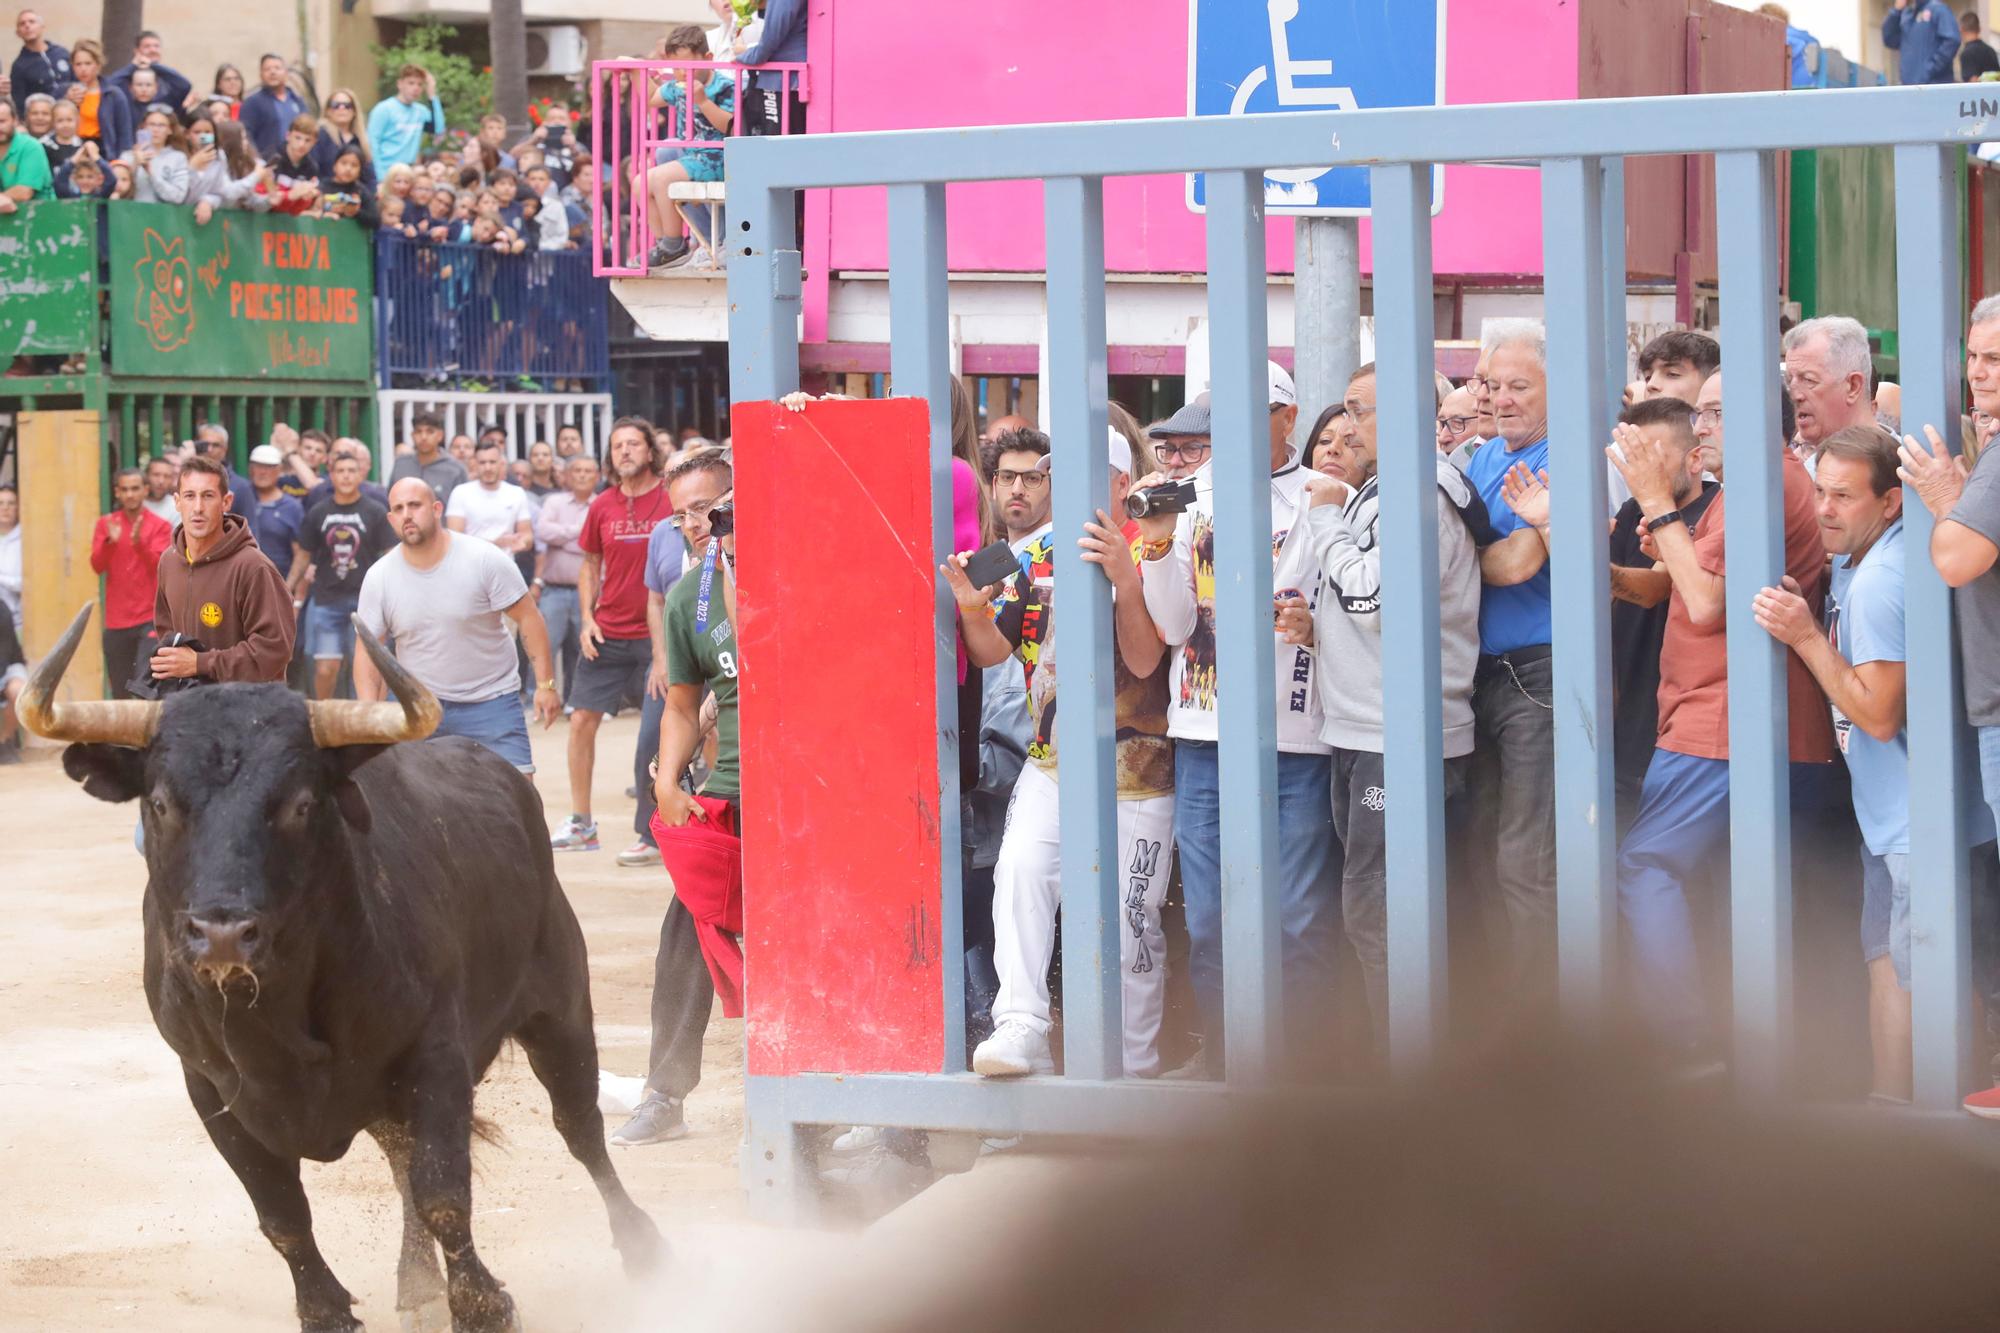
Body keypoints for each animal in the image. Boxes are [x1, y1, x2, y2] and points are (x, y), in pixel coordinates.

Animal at [23, 608, 664, 1328]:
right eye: (159, 802)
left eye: (301, 802)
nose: (222, 933)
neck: (278, 1013)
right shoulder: (211, 1089)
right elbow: (284, 1217)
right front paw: (326, 1308)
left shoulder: (435, 1058)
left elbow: (445, 1194)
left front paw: (482, 1304)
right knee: (400, 1159)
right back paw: (417, 1282)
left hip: (561, 1007)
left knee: (580, 1127)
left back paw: (641, 1246)